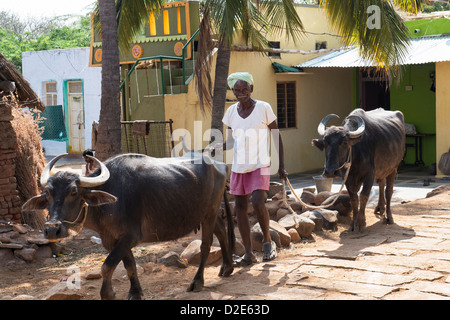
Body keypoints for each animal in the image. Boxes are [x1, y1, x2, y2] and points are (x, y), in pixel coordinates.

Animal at [23, 152, 236, 300]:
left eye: (73, 192)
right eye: (48, 193)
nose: (52, 230)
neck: (109, 202)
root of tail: (220, 165)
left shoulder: (130, 237)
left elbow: (107, 266)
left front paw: (108, 293)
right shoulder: (112, 240)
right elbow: (129, 265)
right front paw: (135, 292)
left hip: (210, 212)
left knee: (206, 244)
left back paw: (197, 281)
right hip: (206, 213)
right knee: (222, 230)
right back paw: (227, 267)